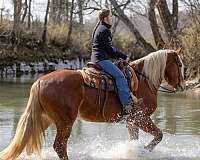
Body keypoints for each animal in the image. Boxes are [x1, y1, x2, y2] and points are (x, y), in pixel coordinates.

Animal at [0, 49, 184, 160]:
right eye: (180, 64)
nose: (182, 85)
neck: (144, 79)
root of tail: (39, 82)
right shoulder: (141, 118)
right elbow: (159, 135)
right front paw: (145, 150)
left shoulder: (132, 121)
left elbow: (135, 140)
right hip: (65, 122)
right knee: (59, 146)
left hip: (45, 119)